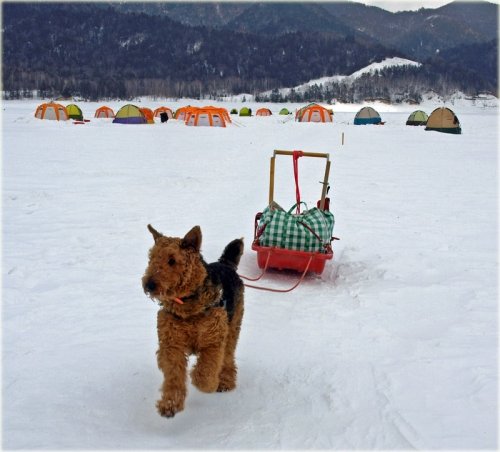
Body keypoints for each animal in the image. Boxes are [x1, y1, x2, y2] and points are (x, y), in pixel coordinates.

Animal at [141, 224, 244, 418]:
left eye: (172, 260)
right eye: (151, 258)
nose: (149, 285)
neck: (186, 302)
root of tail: (224, 263)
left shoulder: (213, 340)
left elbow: (206, 370)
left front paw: (204, 382)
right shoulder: (172, 344)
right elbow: (174, 375)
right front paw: (170, 405)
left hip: (233, 328)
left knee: (228, 357)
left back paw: (225, 382)